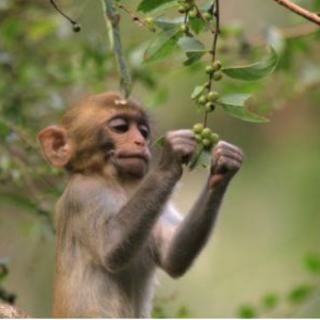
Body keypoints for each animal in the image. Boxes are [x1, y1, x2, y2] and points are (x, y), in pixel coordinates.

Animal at [38, 91, 242, 318]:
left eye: (143, 131)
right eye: (121, 127)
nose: (140, 142)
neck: (116, 181)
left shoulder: (157, 202)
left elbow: (171, 256)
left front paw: (224, 167)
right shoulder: (82, 194)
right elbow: (110, 248)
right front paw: (170, 159)